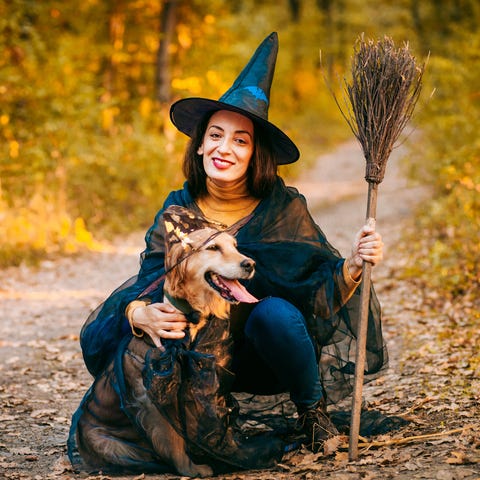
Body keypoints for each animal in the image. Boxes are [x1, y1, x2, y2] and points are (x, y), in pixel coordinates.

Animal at [72, 205, 274, 476]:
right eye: (213, 248)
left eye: (234, 246)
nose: (249, 263)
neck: (190, 318)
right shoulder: (151, 399)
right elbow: (174, 439)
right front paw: (192, 469)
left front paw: (231, 452)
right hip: (110, 444)